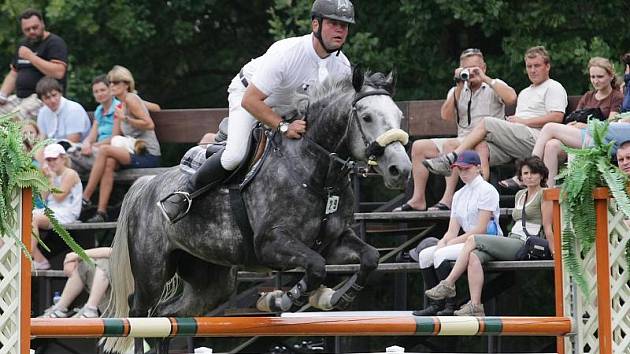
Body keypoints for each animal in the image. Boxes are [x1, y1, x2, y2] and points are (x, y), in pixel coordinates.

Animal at [103, 68, 412, 352]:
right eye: (367, 117)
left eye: (399, 116)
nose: (401, 170)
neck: (318, 175)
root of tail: (146, 184)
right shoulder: (271, 244)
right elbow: (315, 267)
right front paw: (281, 299)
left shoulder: (332, 242)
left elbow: (369, 257)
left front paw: (334, 298)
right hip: (152, 272)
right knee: (140, 313)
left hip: (211, 281)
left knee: (167, 317)